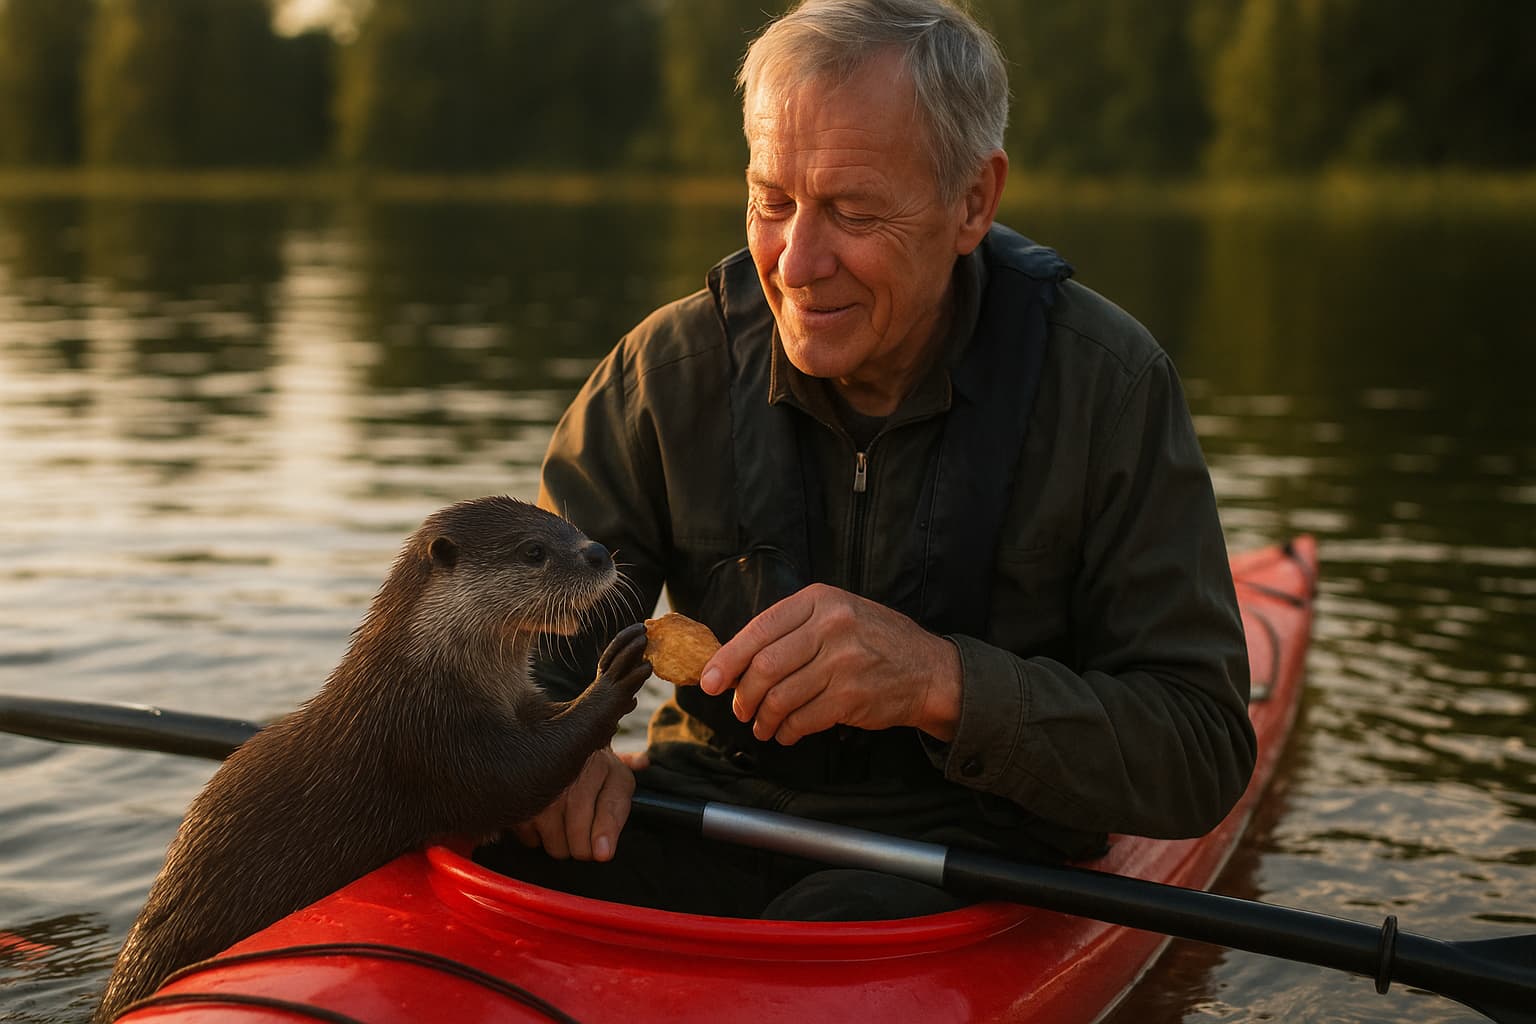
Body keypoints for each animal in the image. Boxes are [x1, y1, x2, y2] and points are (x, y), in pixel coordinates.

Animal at [94, 496, 650, 1021]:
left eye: (572, 527)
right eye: (534, 551)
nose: (599, 552)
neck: (425, 673)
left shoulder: (517, 703)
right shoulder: (427, 738)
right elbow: (518, 778)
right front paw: (614, 677)